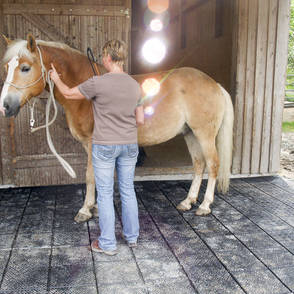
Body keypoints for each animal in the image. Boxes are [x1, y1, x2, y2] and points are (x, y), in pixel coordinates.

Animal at [0, 34, 234, 222]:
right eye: (7, 68)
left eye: (25, 68)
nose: (5, 106)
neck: (84, 90)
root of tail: (214, 84)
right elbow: (95, 175)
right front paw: (94, 207)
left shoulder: (93, 143)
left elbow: (90, 175)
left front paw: (85, 210)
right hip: (190, 134)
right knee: (198, 165)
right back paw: (188, 201)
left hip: (204, 134)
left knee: (212, 165)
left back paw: (204, 205)